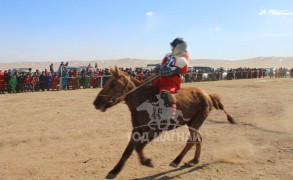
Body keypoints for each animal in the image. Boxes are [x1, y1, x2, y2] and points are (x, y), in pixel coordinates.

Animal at [94, 66, 237, 179]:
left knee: (191, 140)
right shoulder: (137, 129)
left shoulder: (156, 130)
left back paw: (177, 160)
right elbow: (127, 151)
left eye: (113, 83)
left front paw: (147, 161)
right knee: (198, 139)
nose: (96, 102)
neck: (144, 100)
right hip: (192, 123)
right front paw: (114, 171)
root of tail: (207, 95)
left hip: (196, 122)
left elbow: (138, 147)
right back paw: (194, 160)